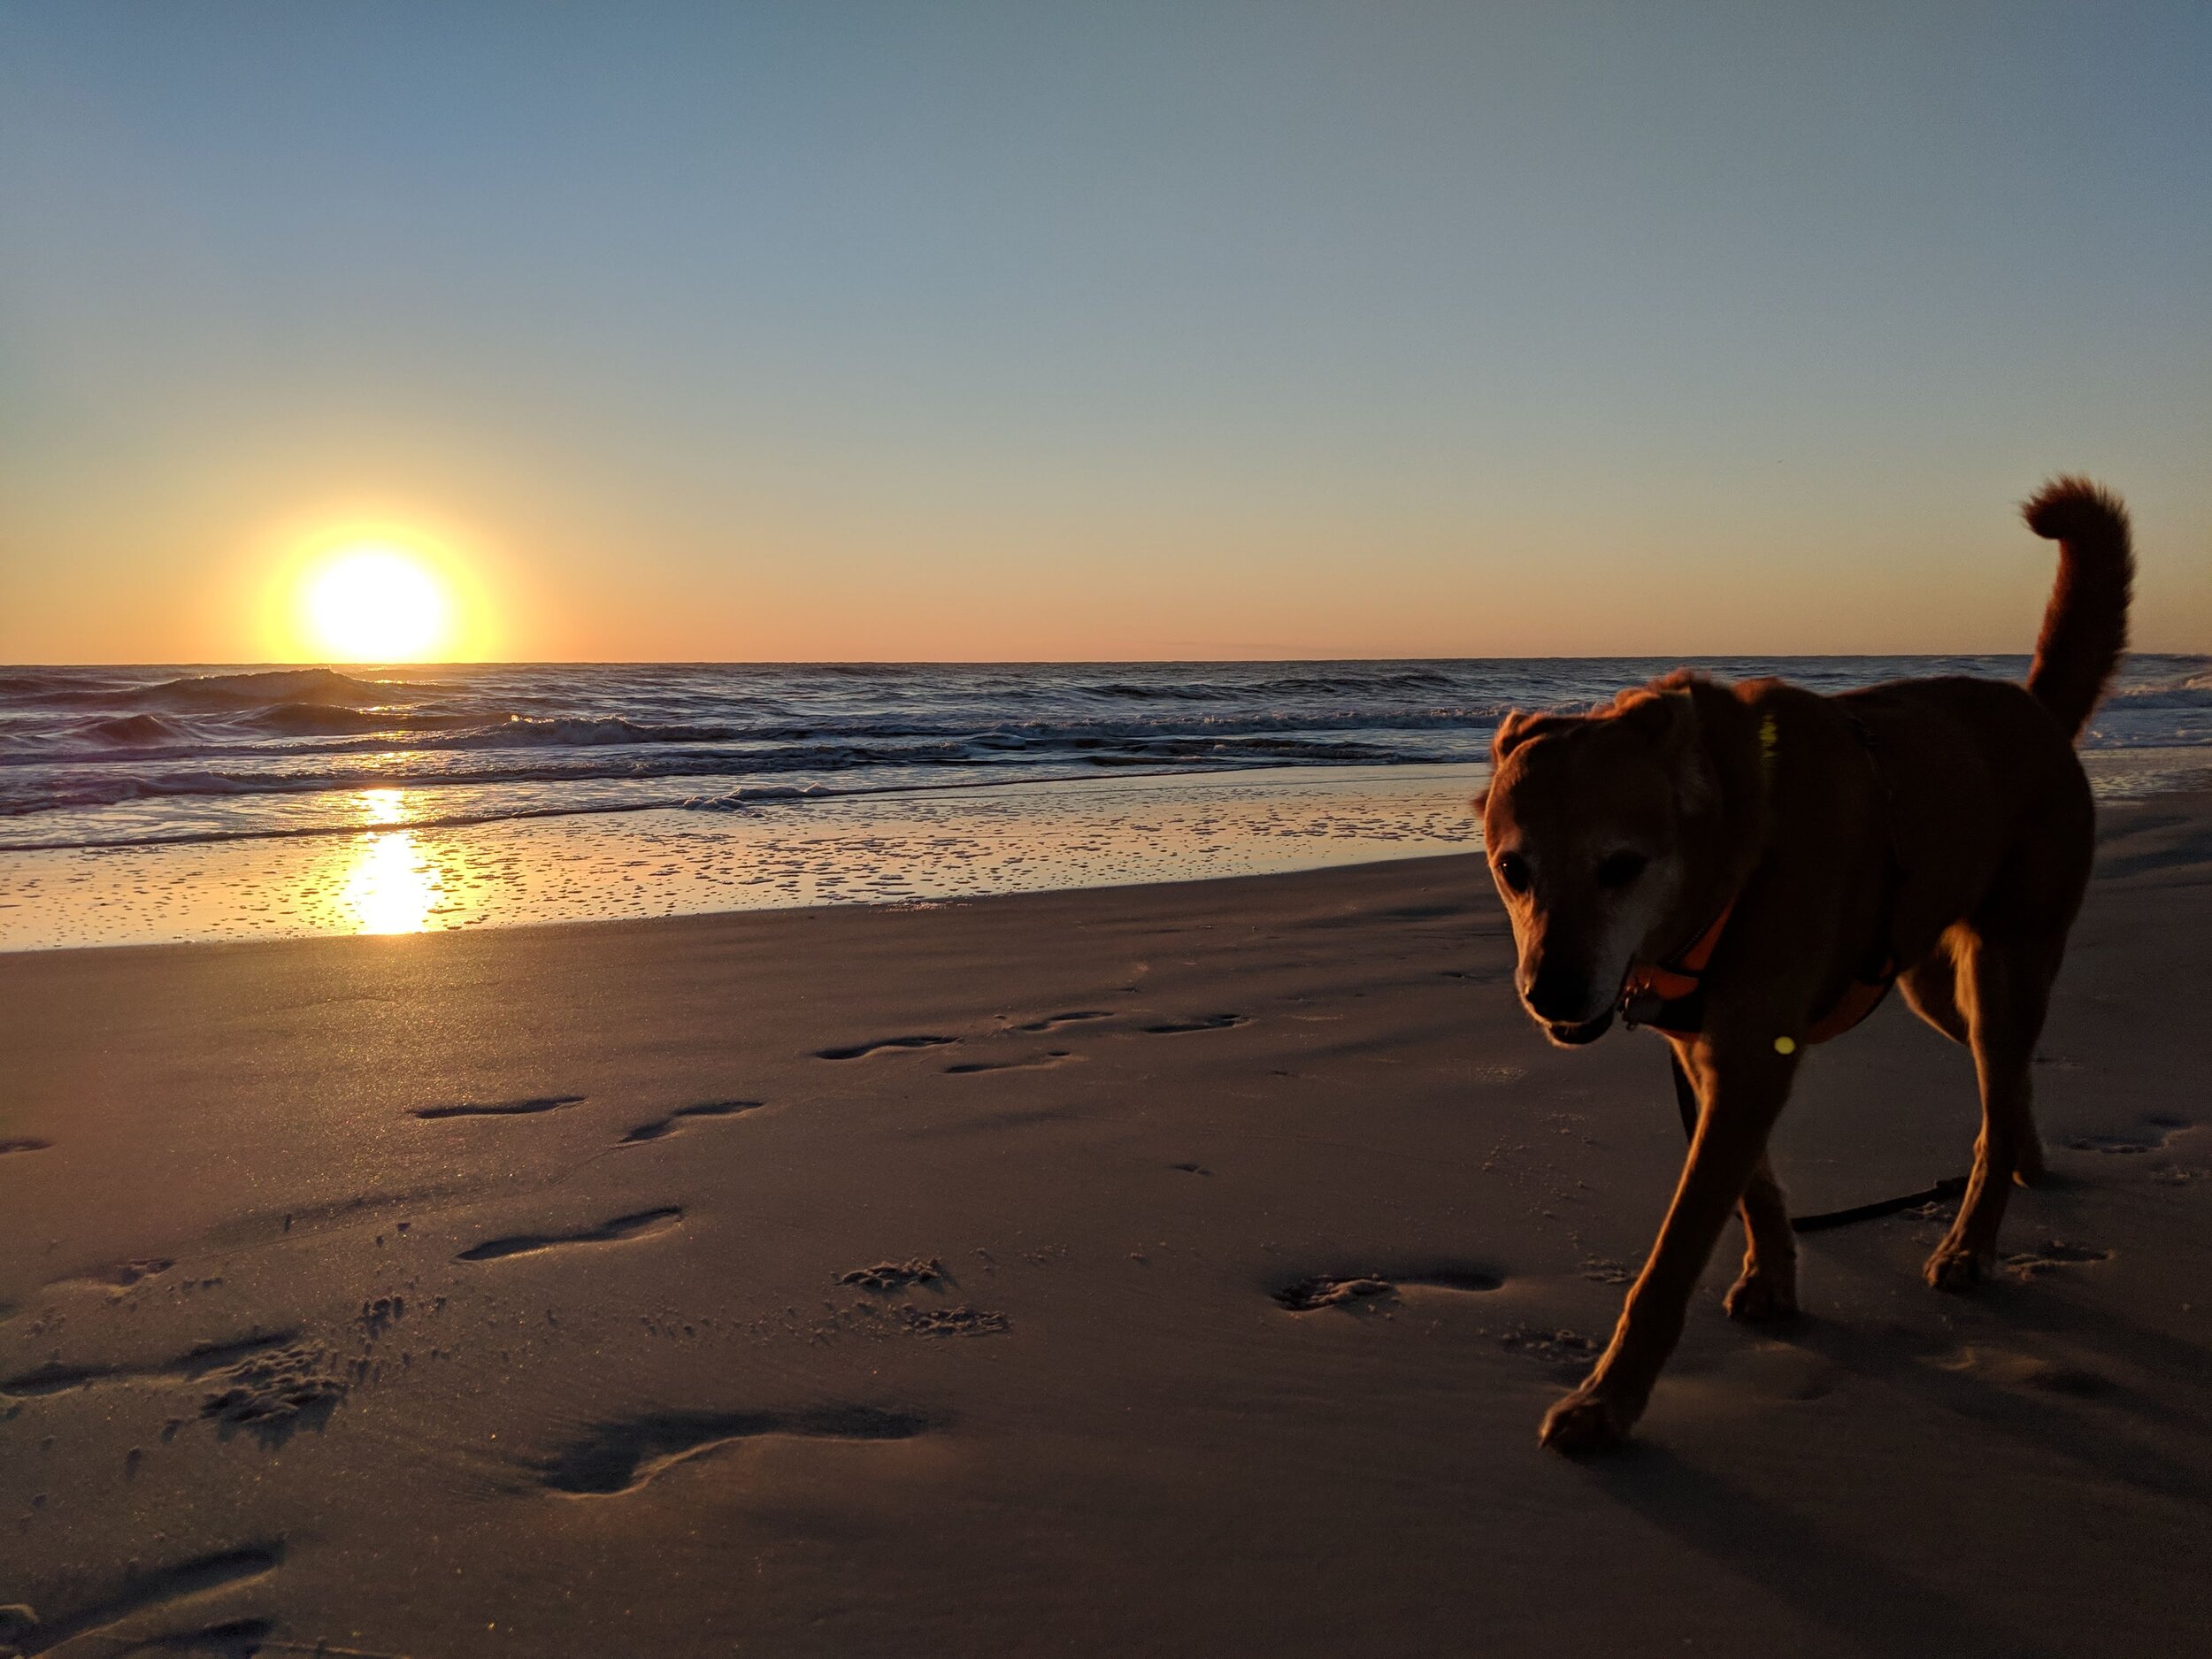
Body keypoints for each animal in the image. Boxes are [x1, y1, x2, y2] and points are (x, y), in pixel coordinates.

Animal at [1478, 473, 2132, 1451]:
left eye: (1620, 865)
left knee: (1998, 1083)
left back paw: (1970, 1242)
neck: (1738, 850)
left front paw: (1608, 1399)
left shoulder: (1750, 1057)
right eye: (1512, 869)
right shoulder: (1711, 1056)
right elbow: (1753, 1189)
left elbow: (1674, 1255)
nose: (1551, 992)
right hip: (1930, 982)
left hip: (2004, 966)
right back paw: (2022, 1156)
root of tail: (2036, 712)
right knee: (2004, 1084)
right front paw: (1772, 1280)